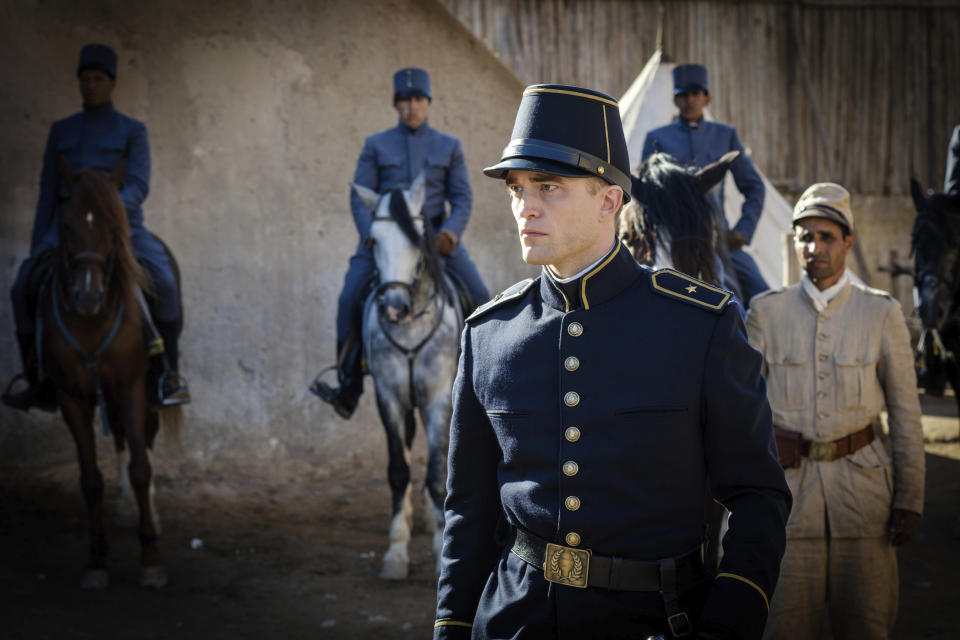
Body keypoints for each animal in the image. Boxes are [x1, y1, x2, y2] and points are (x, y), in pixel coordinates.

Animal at [41, 161, 180, 592]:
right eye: (67, 224)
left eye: (112, 225)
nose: (88, 296)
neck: (91, 323)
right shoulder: (72, 396)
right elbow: (90, 479)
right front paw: (97, 561)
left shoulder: (133, 385)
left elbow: (140, 467)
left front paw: (152, 560)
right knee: (120, 438)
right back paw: (124, 512)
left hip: (146, 389)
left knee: (142, 441)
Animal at [352, 175, 464, 580]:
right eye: (372, 241)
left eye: (418, 238)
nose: (394, 308)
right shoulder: (389, 397)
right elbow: (399, 470)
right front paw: (396, 551)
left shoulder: (438, 398)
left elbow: (435, 472)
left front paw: (441, 548)